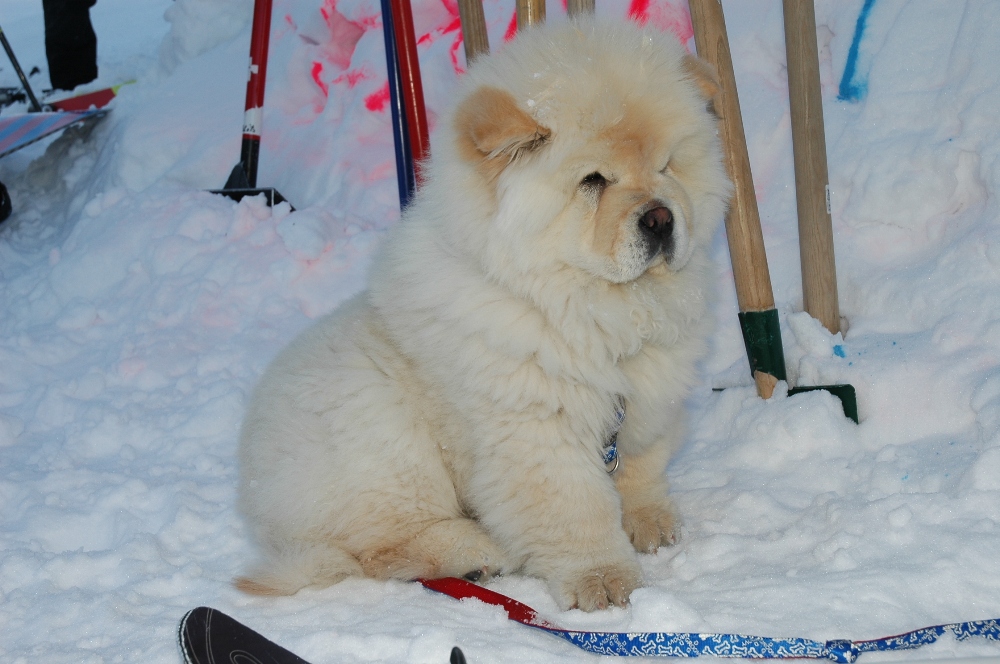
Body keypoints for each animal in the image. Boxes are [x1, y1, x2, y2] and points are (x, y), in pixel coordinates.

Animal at [238, 18, 732, 612]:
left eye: (667, 166)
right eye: (593, 181)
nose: (660, 218)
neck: (591, 308)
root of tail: (255, 493)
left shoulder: (648, 401)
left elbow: (641, 465)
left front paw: (650, 522)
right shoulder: (536, 427)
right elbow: (578, 510)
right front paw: (606, 583)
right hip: (381, 433)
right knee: (380, 548)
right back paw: (476, 551)